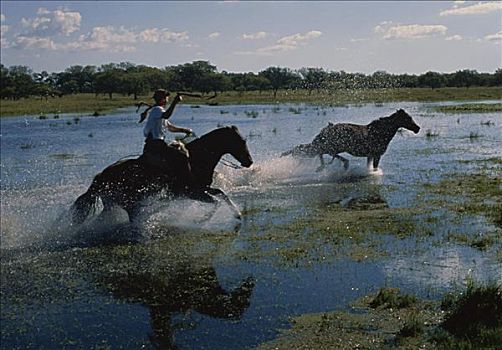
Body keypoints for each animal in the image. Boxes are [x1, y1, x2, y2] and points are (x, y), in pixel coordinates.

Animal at [69, 126, 255, 224]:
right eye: (241, 141)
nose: (249, 162)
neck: (197, 158)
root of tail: (100, 176)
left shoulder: (203, 188)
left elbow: (222, 194)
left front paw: (237, 214)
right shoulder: (192, 192)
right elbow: (216, 202)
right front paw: (203, 219)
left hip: (114, 204)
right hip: (126, 203)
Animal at [282, 108, 420, 171]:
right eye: (407, 118)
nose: (417, 128)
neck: (381, 133)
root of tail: (326, 129)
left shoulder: (370, 155)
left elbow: (369, 167)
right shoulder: (377, 155)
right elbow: (375, 168)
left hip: (332, 146)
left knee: (320, 152)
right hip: (332, 146)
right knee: (320, 152)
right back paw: (333, 165)